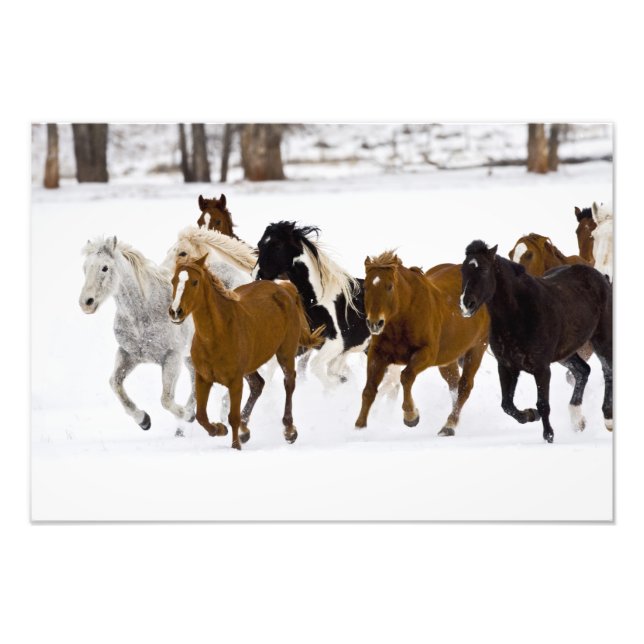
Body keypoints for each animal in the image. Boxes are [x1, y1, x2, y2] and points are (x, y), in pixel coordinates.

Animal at [79, 236, 196, 430]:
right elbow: (115, 383)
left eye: (105, 267)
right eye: (85, 267)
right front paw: (143, 420)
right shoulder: (128, 355)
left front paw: (186, 415)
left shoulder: (172, 357)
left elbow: (166, 400)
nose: (86, 303)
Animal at [168, 255, 324, 450]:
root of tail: (285, 288)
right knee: (258, 385)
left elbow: (232, 417)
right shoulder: (203, 378)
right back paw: (245, 430)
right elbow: (201, 416)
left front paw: (236, 445)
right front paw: (220, 429)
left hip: (286, 353)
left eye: (194, 282)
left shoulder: (235, 381)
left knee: (289, 382)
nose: (175, 311)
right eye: (173, 280)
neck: (216, 335)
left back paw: (289, 431)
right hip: (251, 366)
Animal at [253, 221, 401, 394]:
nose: (257, 276)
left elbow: (317, 368)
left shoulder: (335, 345)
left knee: (392, 382)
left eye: (277, 245)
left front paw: (336, 386)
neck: (316, 301)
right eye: (259, 244)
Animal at [354, 251, 489, 436]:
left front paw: (411, 416)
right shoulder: (377, 354)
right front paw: (359, 427)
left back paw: (449, 425)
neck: (404, 315)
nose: (375, 323)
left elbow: (406, 377)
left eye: (389, 286)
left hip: (476, 349)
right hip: (448, 360)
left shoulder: (426, 354)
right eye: (366, 287)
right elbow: (369, 389)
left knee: (464, 387)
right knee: (454, 384)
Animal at [459, 240, 613, 443]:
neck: (519, 313)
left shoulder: (541, 368)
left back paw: (608, 419)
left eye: (483, 270)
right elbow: (507, 405)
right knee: (583, 371)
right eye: (462, 271)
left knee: (607, 371)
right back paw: (577, 420)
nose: (466, 304)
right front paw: (531, 415)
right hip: (565, 353)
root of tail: (602, 277)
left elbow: (543, 404)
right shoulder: (507, 366)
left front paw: (548, 436)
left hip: (602, 340)